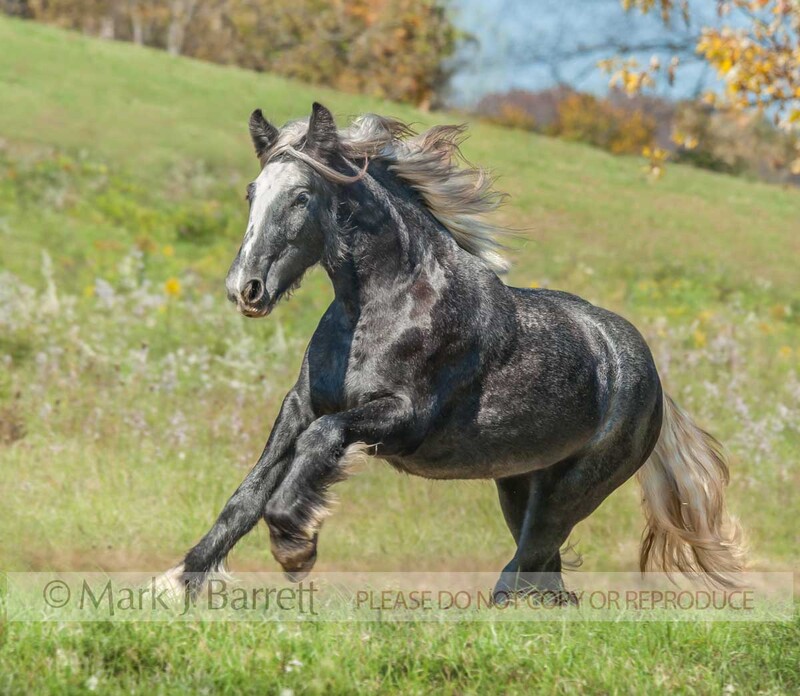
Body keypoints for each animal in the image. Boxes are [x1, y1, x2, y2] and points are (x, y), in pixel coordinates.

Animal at [161, 102, 745, 602]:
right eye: (251, 192)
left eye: (301, 196)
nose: (246, 288)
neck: (386, 303)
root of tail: (653, 379)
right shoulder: (301, 404)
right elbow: (248, 493)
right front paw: (179, 583)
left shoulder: (403, 418)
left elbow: (319, 443)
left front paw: (295, 545)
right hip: (520, 487)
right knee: (545, 579)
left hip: (570, 494)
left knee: (525, 571)